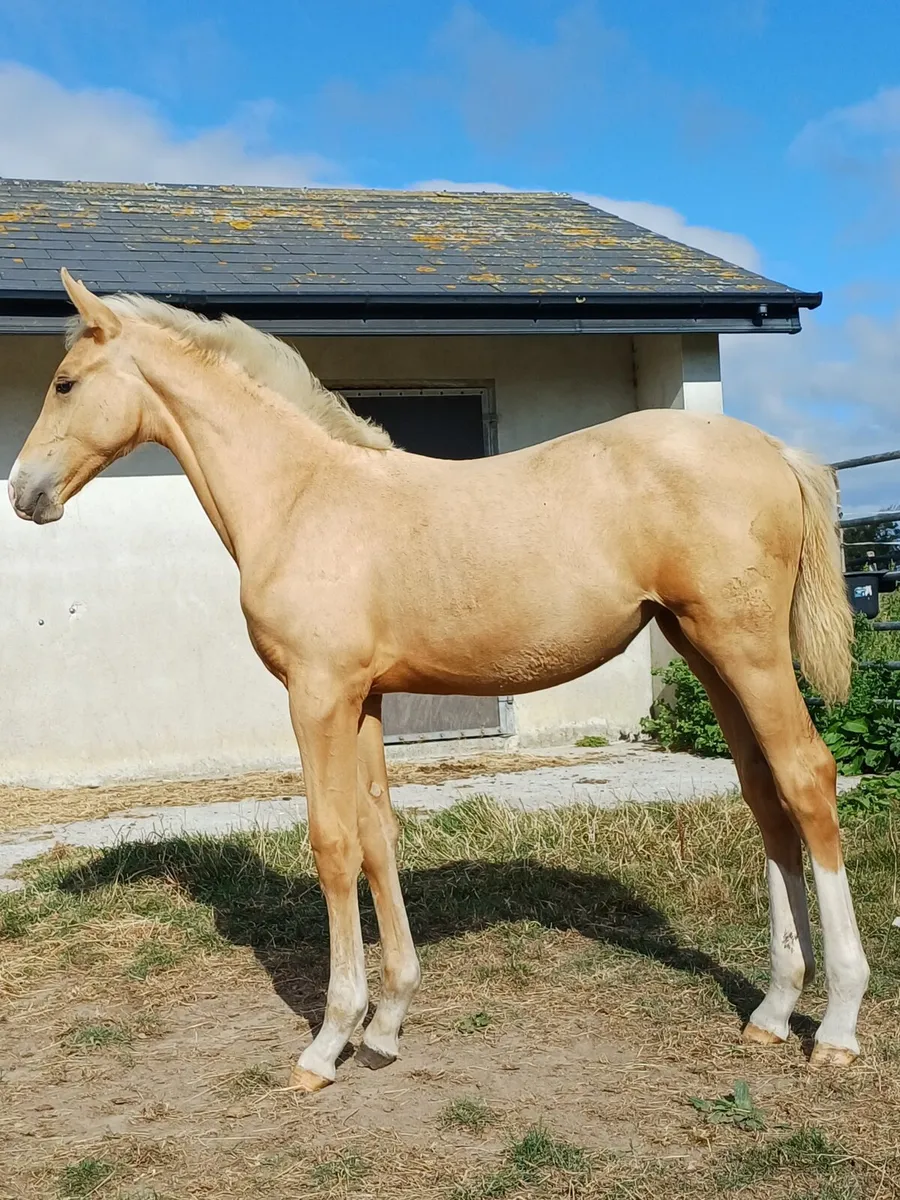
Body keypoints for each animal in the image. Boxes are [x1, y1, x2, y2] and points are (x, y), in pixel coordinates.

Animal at [8, 269, 868, 1092]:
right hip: (706, 651)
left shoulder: (317, 696)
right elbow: (377, 834)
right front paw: (386, 1025)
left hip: (748, 651)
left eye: (65, 383)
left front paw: (328, 1042)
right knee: (764, 795)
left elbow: (332, 843)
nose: (23, 493)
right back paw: (772, 1011)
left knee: (806, 778)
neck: (303, 496)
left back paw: (836, 1028)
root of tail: (776, 451)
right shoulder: (364, 699)